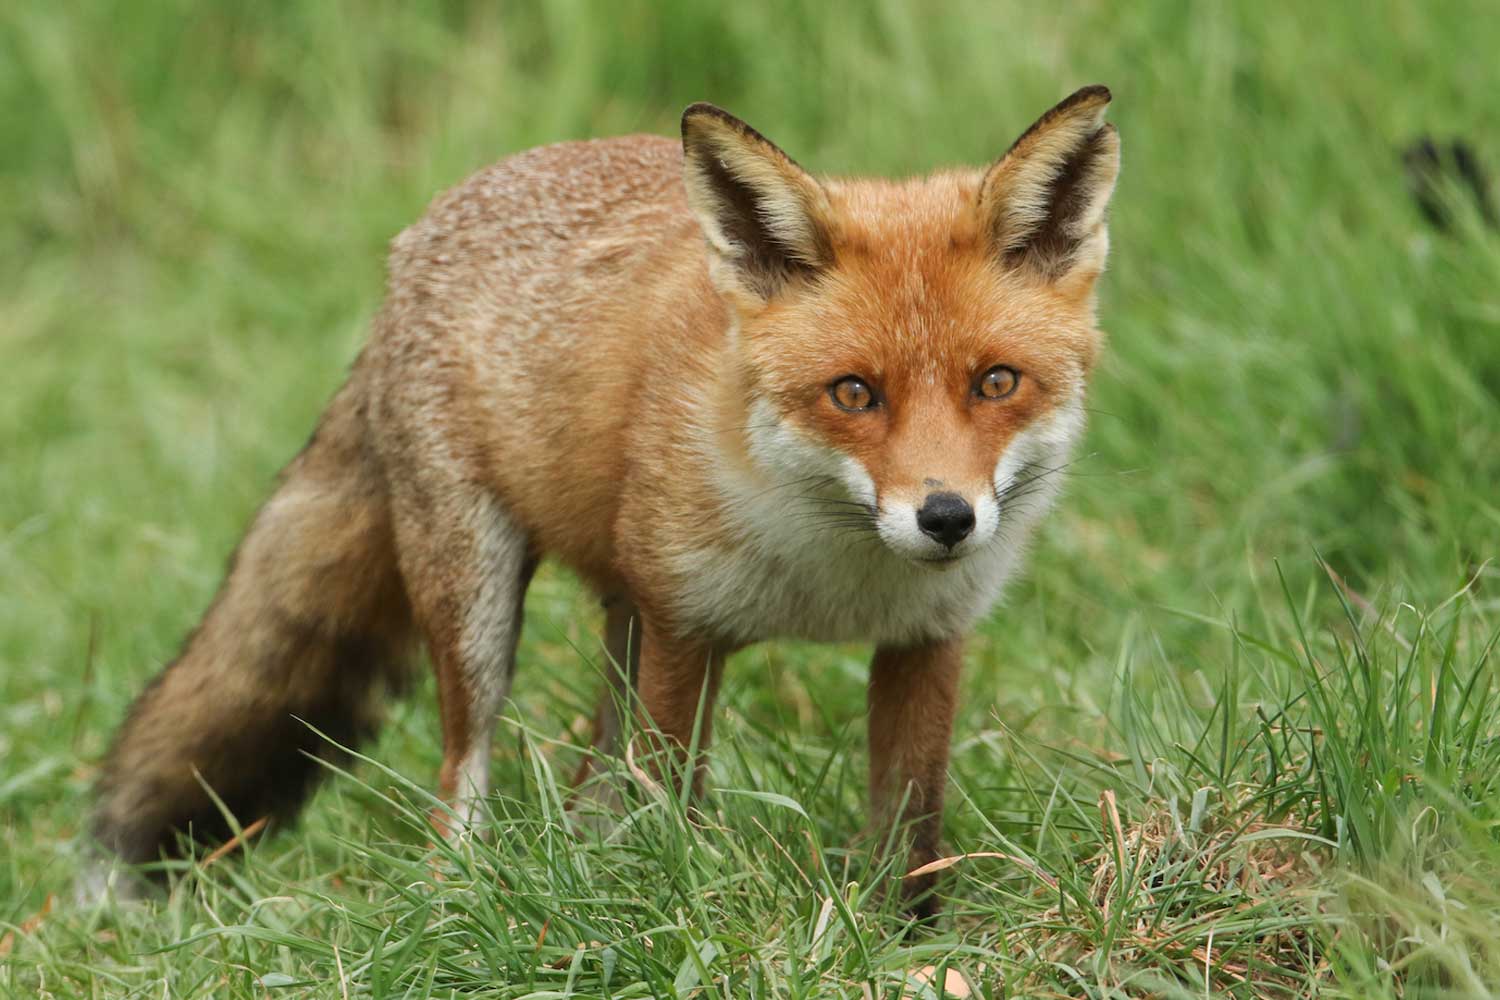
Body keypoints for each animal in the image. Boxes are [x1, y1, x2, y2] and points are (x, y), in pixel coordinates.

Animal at [82, 86, 1116, 917]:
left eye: (996, 382)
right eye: (854, 393)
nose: (946, 518)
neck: (831, 571)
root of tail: (419, 233)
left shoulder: (925, 640)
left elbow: (911, 829)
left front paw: (909, 945)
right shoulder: (687, 629)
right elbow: (670, 802)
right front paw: (682, 911)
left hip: (623, 619)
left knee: (588, 781)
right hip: (481, 607)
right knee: (464, 775)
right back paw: (461, 900)